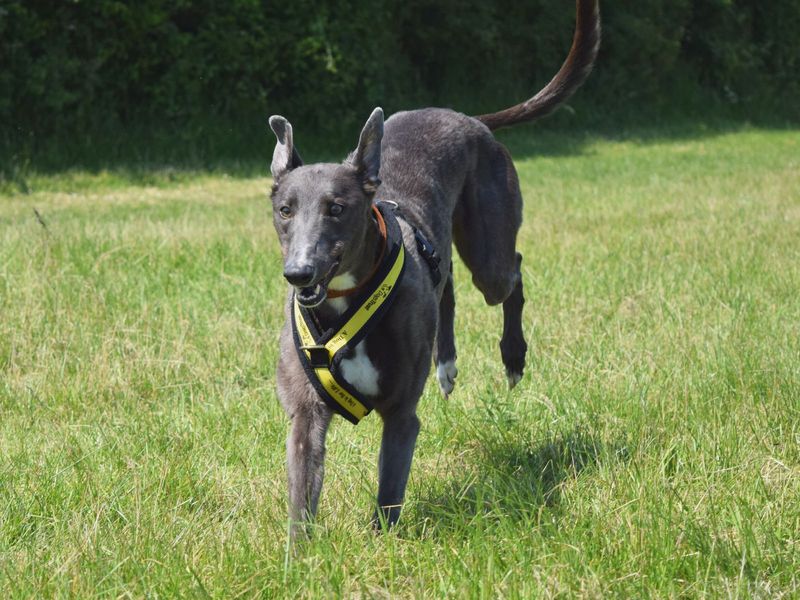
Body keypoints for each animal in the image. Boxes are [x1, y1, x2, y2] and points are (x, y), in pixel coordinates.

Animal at [268, 0, 600, 536]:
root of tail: (466, 117)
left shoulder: (402, 415)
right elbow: (302, 502)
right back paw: (447, 364)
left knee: (511, 274)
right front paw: (300, 554)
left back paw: (513, 356)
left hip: (490, 250)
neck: (345, 304)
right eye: (285, 210)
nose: (299, 274)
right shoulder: (305, 416)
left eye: (337, 208)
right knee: (447, 289)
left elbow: (388, 495)